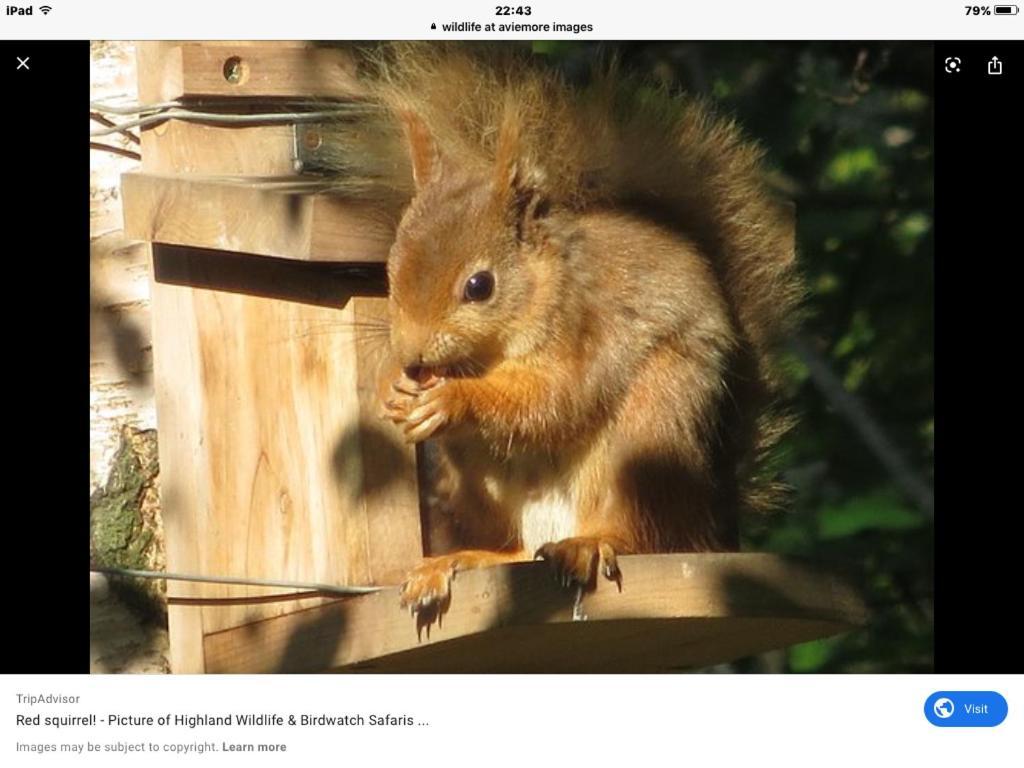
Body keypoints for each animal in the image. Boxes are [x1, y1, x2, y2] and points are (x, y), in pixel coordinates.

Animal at [325, 43, 798, 618]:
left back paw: (591, 543)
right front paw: (397, 390)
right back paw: (459, 559)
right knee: (516, 549)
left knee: (640, 535)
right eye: (390, 271)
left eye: (480, 286)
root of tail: (709, 522)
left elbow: (556, 398)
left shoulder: (588, 329)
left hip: (649, 437)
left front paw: (454, 399)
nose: (413, 357)